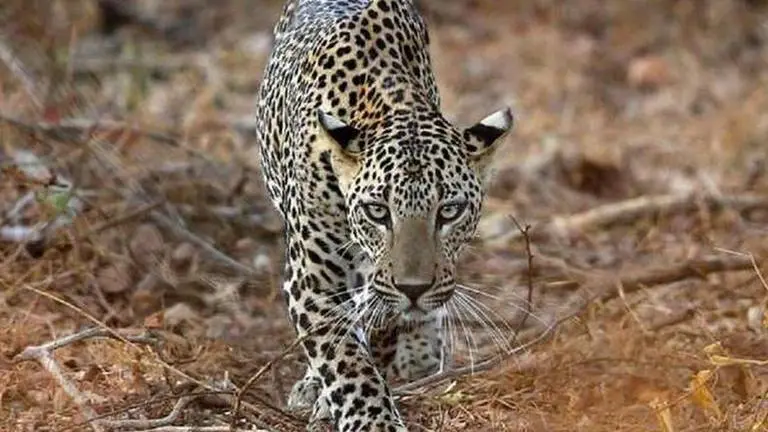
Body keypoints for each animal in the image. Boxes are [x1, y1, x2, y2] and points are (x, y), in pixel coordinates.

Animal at [254, 0, 514, 430]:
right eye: (377, 211)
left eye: (449, 211)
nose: (413, 289)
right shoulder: (312, 277)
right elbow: (345, 359)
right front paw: (372, 419)